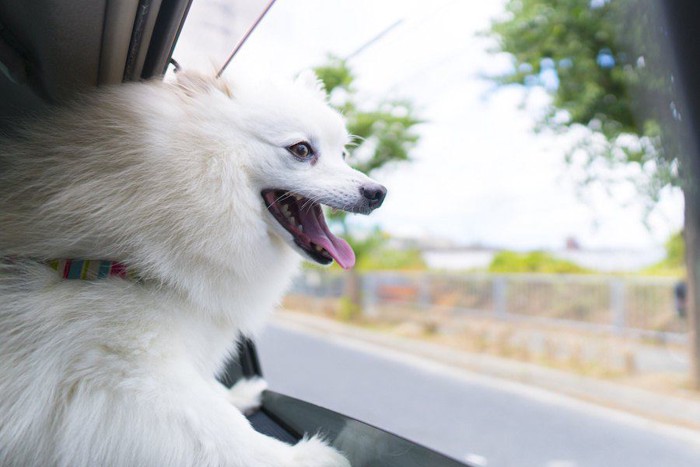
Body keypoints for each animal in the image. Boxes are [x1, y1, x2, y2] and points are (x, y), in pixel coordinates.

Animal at [0, 70, 382, 467]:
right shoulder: (121, 368)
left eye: (343, 154)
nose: (378, 192)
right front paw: (307, 456)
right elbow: (221, 429)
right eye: (302, 150)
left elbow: (212, 394)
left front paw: (239, 394)